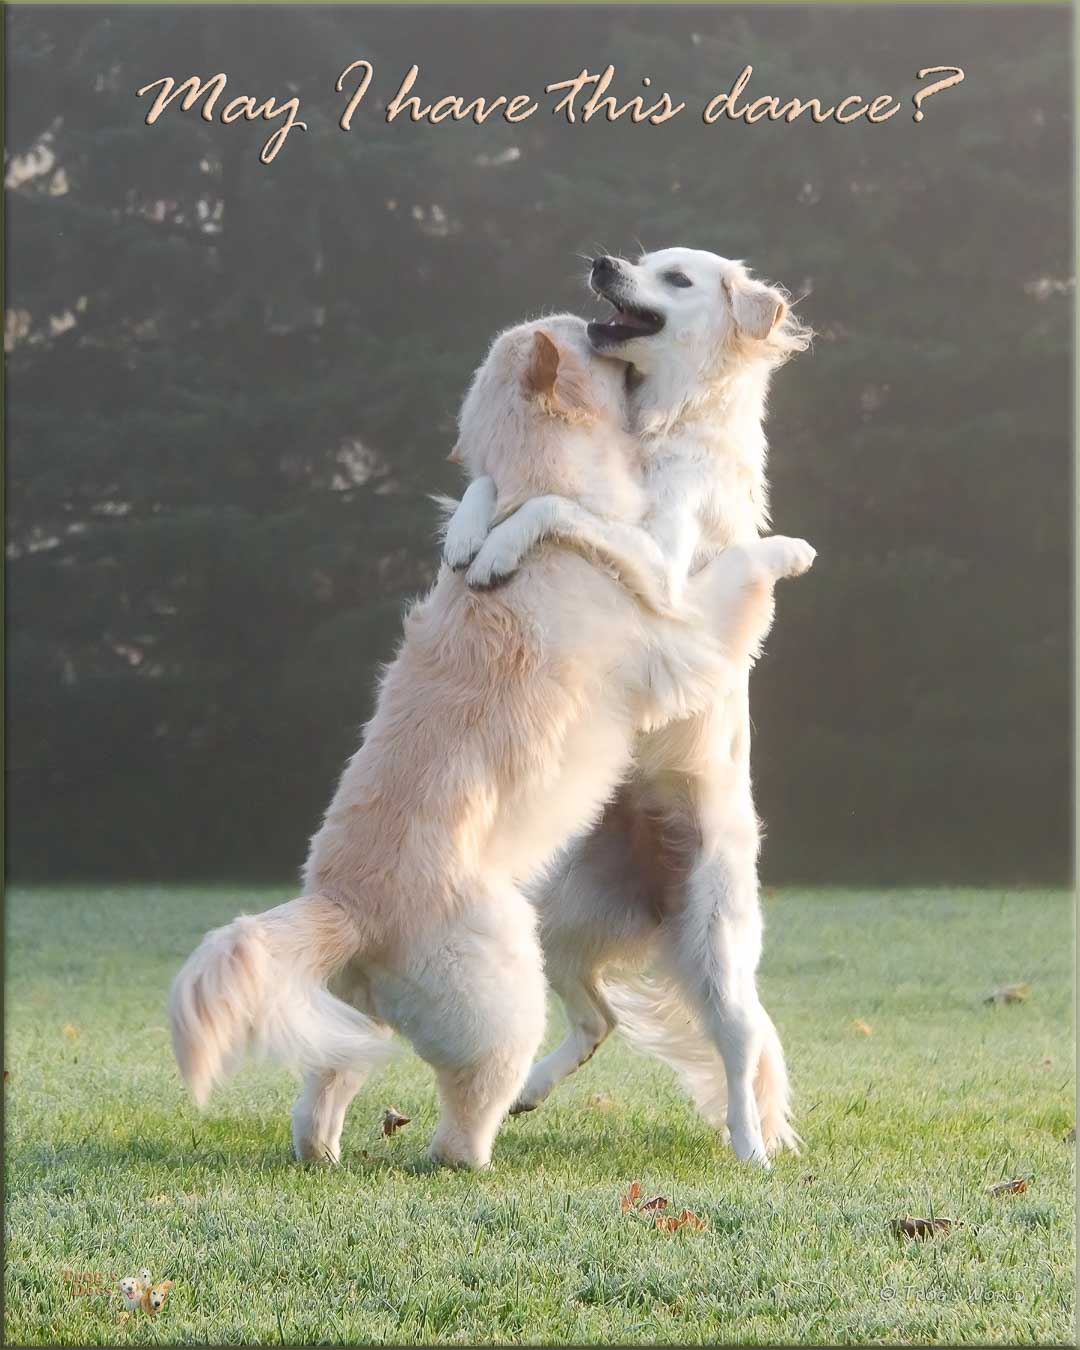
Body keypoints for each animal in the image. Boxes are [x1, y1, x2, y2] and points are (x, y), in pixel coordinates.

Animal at [166, 310, 810, 1166]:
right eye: (576, 333)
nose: (594, 302)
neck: (538, 479)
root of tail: (345, 908)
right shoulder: (677, 633)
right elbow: (728, 576)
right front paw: (786, 551)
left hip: (397, 1006)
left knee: (327, 1090)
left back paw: (327, 1152)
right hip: (523, 985)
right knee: (473, 1123)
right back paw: (490, 1150)